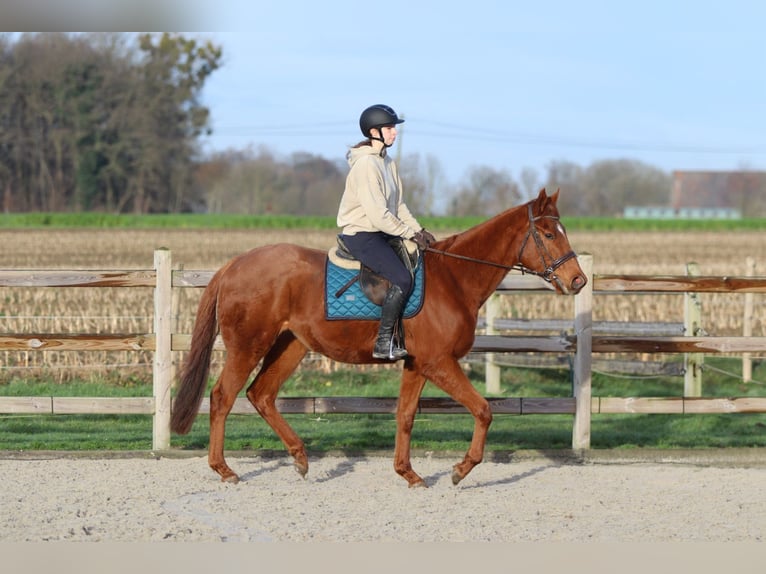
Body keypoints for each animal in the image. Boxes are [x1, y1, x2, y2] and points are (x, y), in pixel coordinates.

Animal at [170, 188, 587, 487]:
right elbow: (483, 410)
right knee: (223, 397)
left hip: (291, 346)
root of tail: (233, 264)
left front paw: (409, 473)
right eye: (548, 233)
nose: (578, 281)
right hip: (248, 345)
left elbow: (405, 415)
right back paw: (225, 470)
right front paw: (460, 469)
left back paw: (300, 458)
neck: (454, 279)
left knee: (261, 395)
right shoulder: (438, 362)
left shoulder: (417, 364)